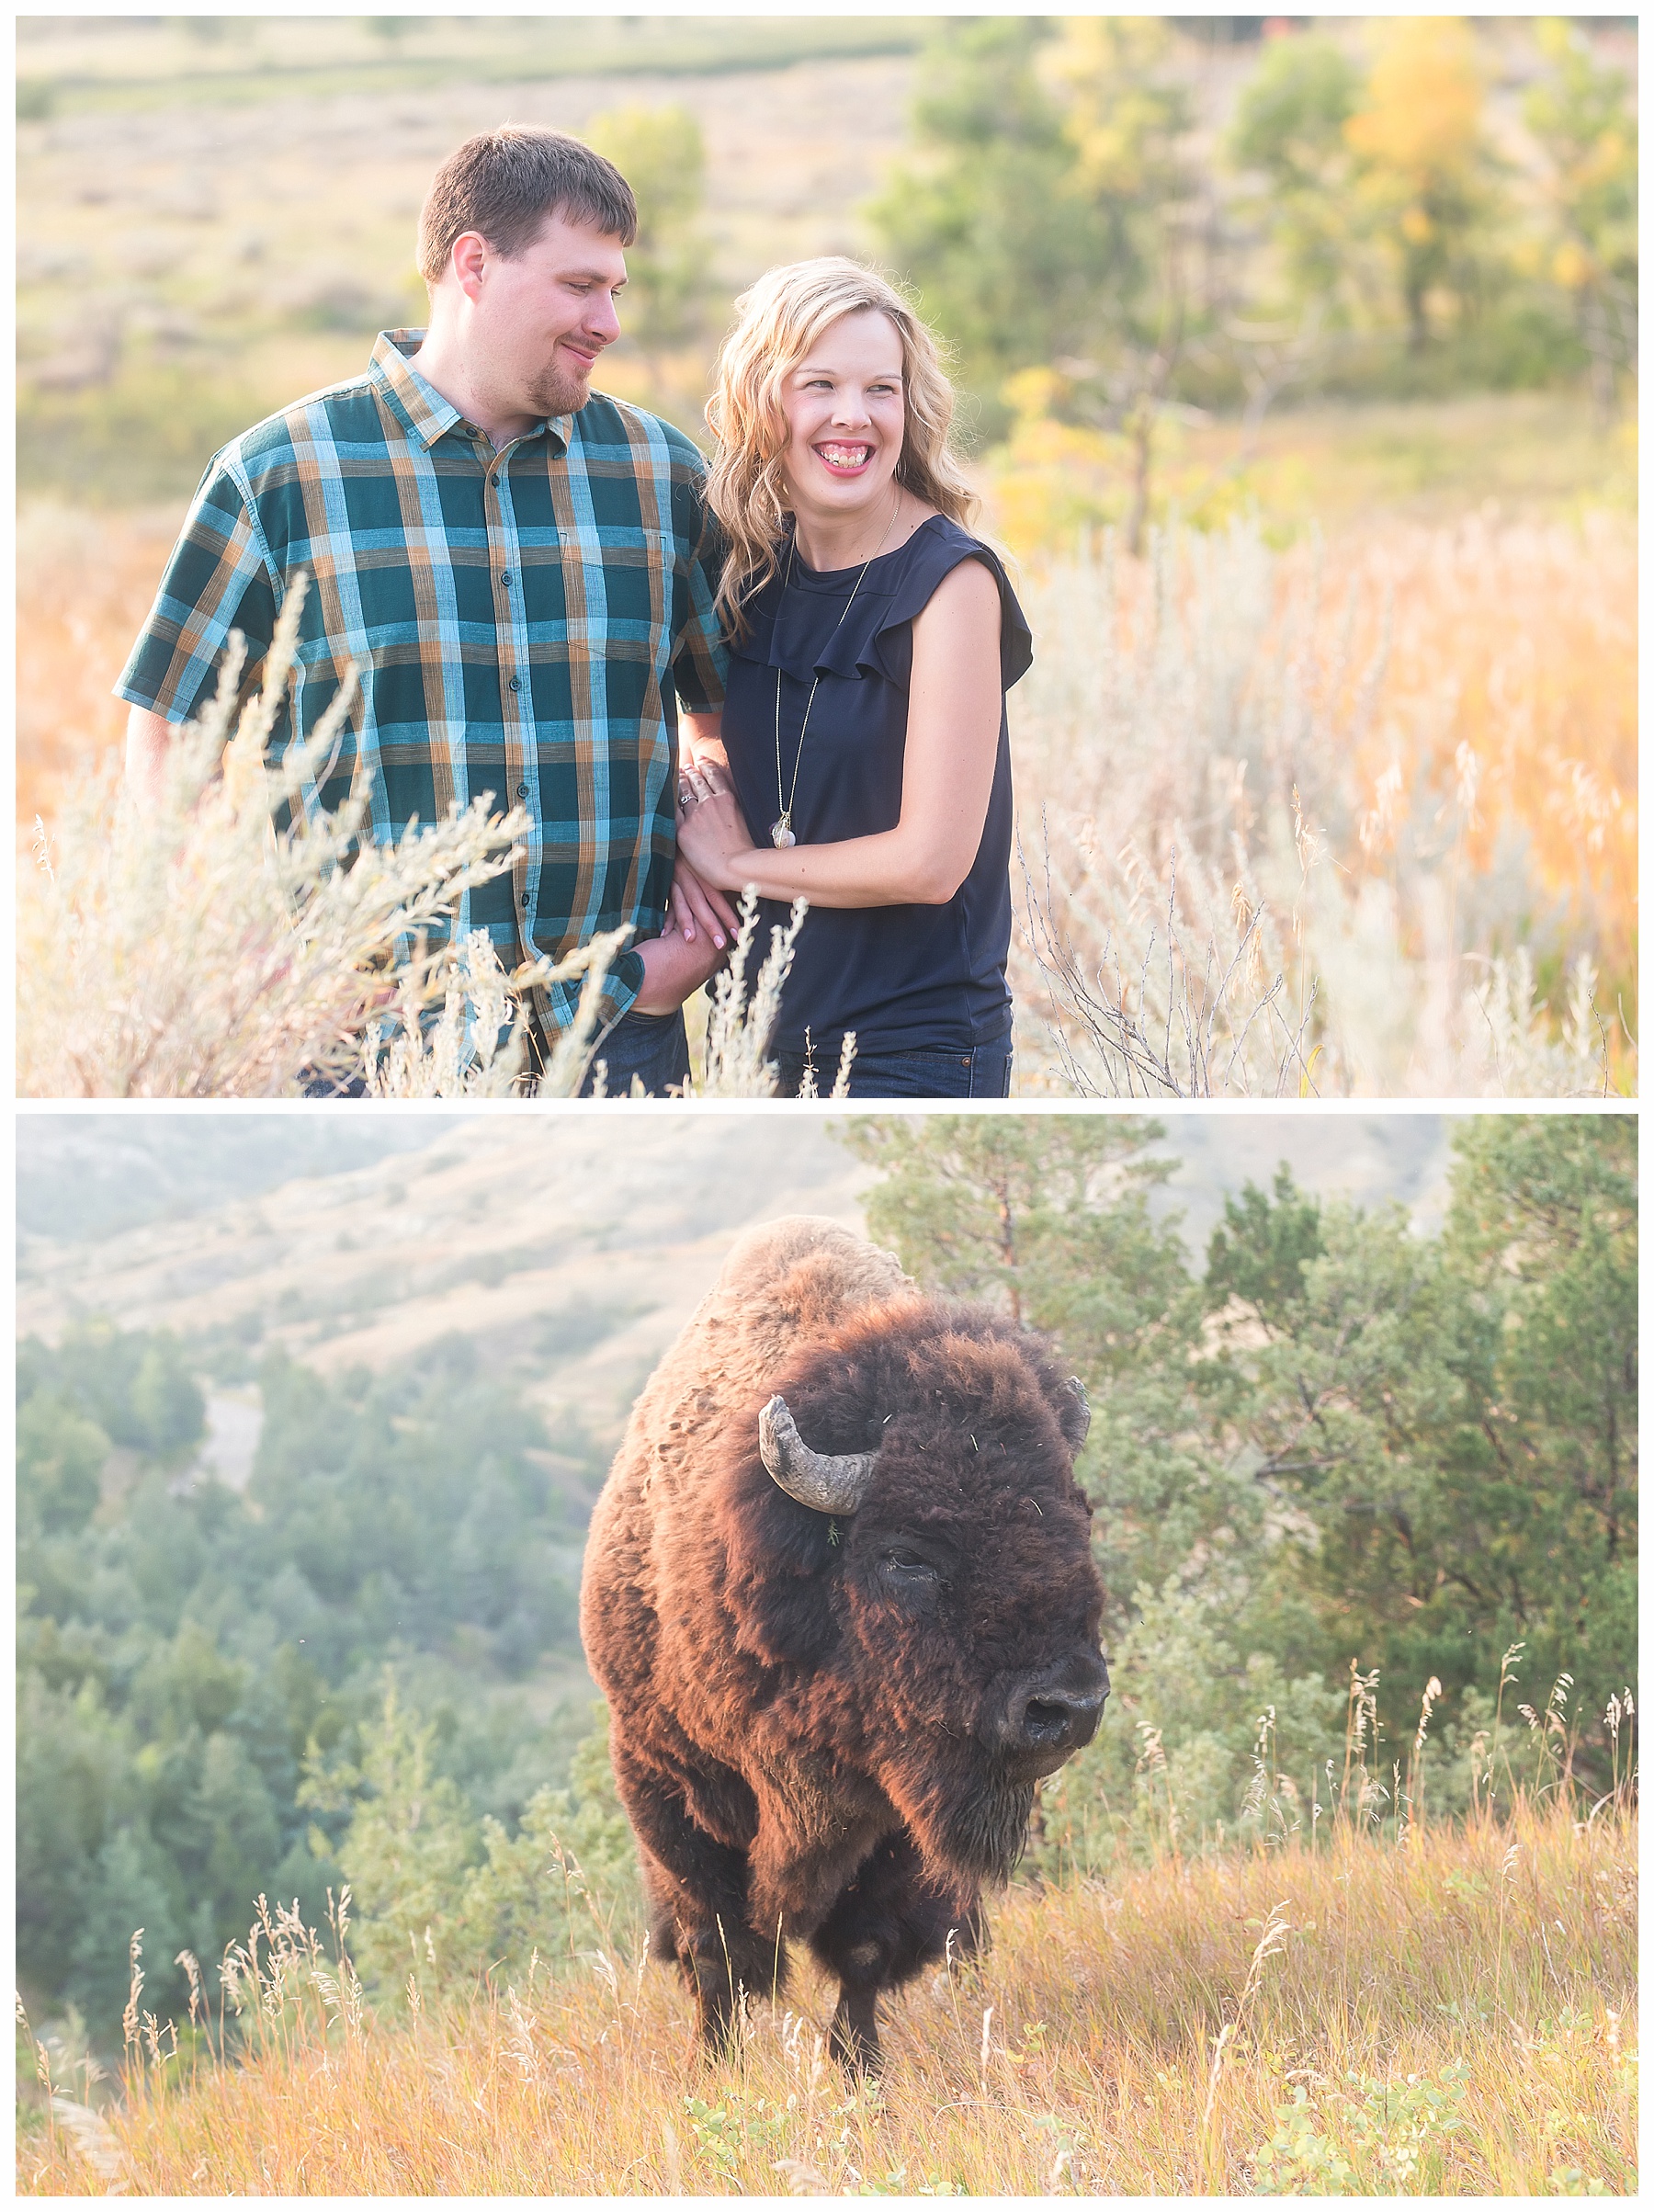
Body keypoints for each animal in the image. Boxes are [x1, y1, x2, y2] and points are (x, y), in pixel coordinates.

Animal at [579, 1212, 1110, 2070]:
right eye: (907, 1554)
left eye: (1077, 1520)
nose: (1069, 1706)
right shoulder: (663, 1778)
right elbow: (714, 1948)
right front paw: (715, 2067)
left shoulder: (897, 1821)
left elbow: (864, 1949)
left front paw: (859, 2069)